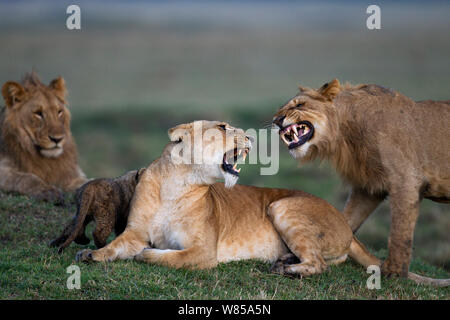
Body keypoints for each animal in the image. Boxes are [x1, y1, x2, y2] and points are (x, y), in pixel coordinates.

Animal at [0, 72, 87, 202]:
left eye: (59, 112)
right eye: (38, 113)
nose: (57, 139)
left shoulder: (71, 173)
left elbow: (87, 181)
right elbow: (26, 178)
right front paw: (48, 191)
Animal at [75, 120, 448, 284]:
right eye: (222, 126)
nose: (250, 137)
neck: (177, 185)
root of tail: (346, 224)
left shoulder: (203, 252)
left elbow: (168, 258)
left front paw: (147, 255)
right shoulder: (135, 231)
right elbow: (116, 246)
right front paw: (91, 254)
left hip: (282, 206)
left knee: (320, 264)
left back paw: (285, 268)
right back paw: (284, 260)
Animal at [270, 79, 450, 280]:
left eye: (300, 105)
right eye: (279, 110)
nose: (276, 121)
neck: (346, 133)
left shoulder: (407, 181)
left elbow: (400, 233)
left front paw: (393, 273)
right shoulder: (368, 188)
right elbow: (345, 221)